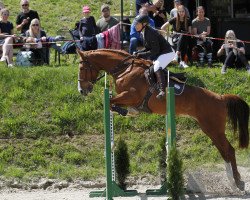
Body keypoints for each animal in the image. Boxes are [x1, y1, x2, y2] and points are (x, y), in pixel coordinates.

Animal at [77, 48, 249, 189]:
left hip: (214, 129)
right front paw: (128, 112)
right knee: (224, 151)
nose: (82, 91)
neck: (124, 70)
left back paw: (238, 182)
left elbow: (111, 102)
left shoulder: (130, 95)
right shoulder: (127, 97)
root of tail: (221, 98)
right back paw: (232, 182)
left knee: (229, 150)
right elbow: (111, 103)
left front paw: (127, 111)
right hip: (210, 130)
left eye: (82, 68)